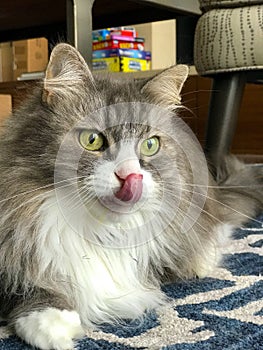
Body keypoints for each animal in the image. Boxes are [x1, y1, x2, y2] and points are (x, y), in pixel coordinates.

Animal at [0, 44, 263, 350]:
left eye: (150, 145)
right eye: (92, 140)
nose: (130, 176)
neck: (99, 233)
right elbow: (25, 286)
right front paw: (53, 325)